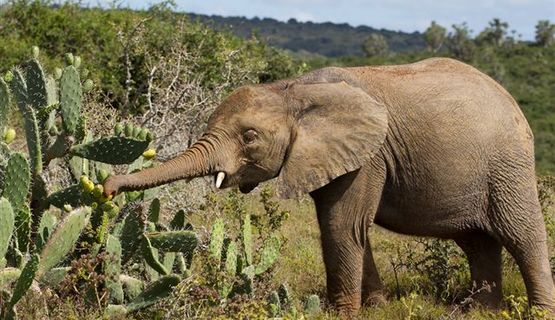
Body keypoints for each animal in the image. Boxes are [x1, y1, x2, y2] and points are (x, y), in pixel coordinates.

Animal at [104, 57, 555, 316]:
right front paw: (376, 308)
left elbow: (343, 225)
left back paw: (536, 312)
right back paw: (482, 313)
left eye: (249, 137)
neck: (294, 89)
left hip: (508, 164)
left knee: (522, 235)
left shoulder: (368, 155)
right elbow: (341, 226)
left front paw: (343, 313)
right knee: (477, 242)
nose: (107, 186)